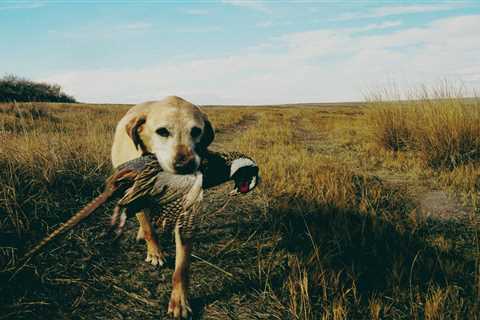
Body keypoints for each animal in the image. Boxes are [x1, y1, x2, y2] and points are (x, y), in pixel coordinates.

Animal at [110, 95, 214, 318]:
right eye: (162, 131)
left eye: (196, 131)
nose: (185, 165)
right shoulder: (137, 197)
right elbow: (149, 229)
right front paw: (155, 253)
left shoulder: (186, 211)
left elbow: (182, 266)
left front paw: (179, 300)